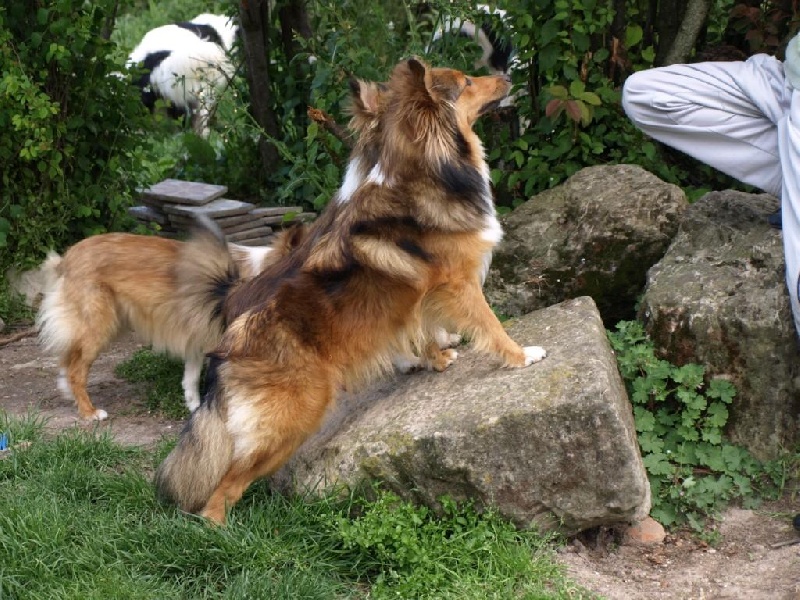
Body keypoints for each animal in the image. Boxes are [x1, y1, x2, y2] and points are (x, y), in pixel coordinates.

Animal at [153, 57, 548, 524]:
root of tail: (230, 347)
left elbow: (421, 328)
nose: (506, 75)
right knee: (223, 488)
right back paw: (220, 532)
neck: (426, 173)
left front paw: (437, 358)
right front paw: (522, 356)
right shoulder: (458, 283)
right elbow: (490, 324)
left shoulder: (417, 296)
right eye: (466, 81)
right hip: (293, 418)